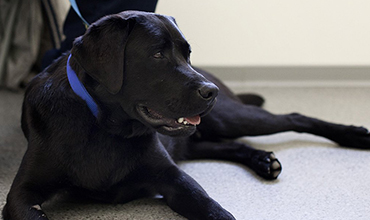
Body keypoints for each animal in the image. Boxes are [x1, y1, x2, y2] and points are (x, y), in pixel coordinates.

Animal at [2, 10, 370, 220]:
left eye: (187, 53)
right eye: (157, 54)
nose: (211, 92)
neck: (104, 126)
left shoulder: (173, 177)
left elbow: (210, 205)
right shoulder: (20, 194)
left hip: (231, 117)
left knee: (294, 117)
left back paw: (355, 135)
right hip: (195, 139)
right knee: (231, 145)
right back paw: (264, 161)